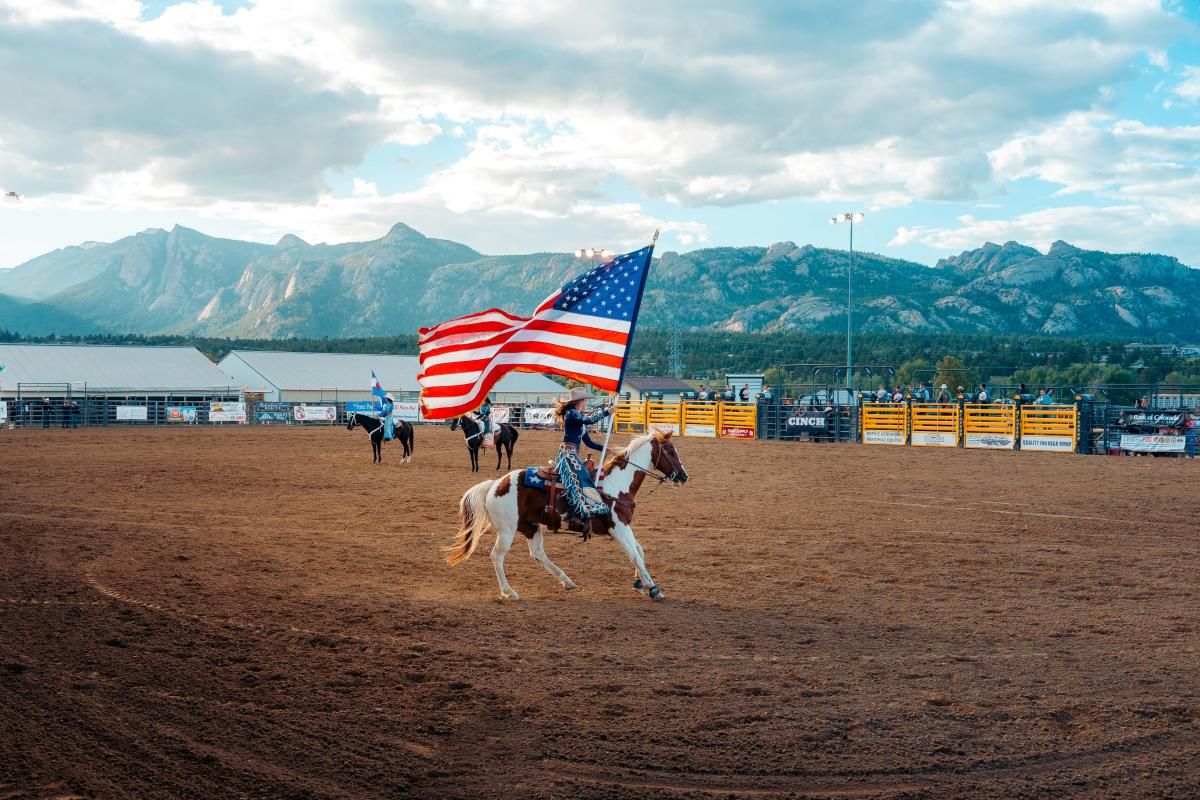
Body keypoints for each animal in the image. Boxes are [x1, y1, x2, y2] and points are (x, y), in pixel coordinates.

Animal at [444, 429, 691, 597]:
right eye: (670, 451)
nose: (683, 476)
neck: (616, 485)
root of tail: (495, 485)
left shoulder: (624, 526)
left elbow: (639, 551)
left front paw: (640, 582)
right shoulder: (618, 527)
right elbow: (635, 555)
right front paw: (653, 587)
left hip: (530, 526)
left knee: (537, 553)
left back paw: (567, 580)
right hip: (507, 530)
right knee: (497, 556)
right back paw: (509, 592)